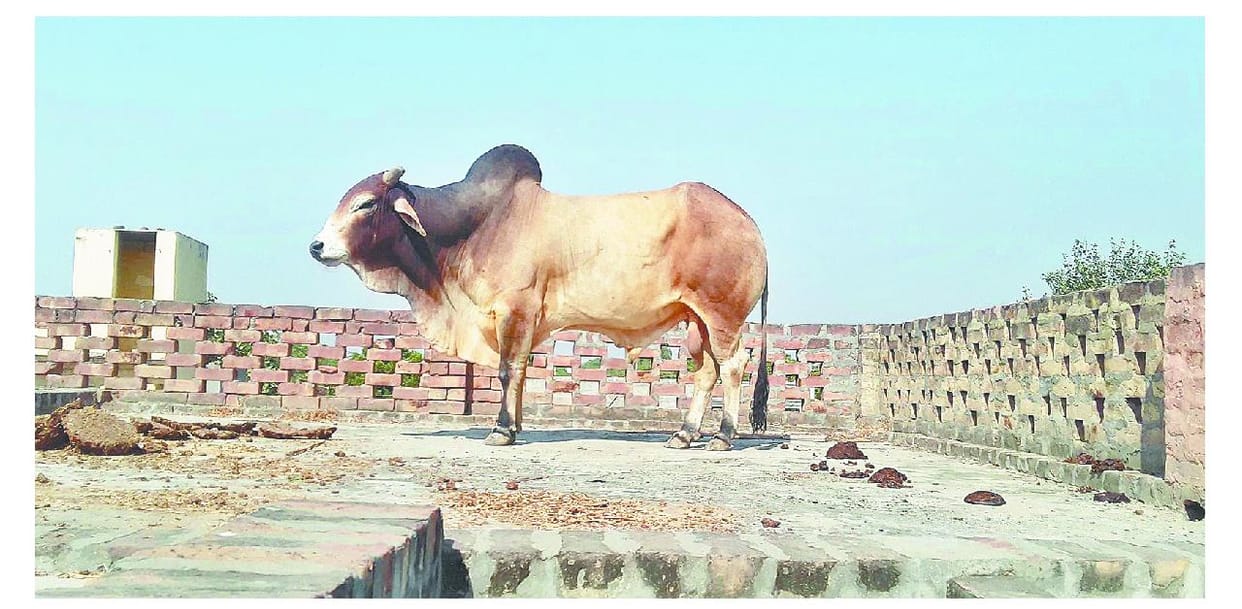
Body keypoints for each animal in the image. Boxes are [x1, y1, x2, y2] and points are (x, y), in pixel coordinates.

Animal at [310, 144, 770, 449]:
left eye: (366, 204)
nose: (317, 246)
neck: (476, 227)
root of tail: (750, 225)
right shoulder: (524, 320)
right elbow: (521, 371)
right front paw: (513, 426)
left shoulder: (514, 309)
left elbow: (507, 370)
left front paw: (500, 430)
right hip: (697, 319)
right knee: (707, 371)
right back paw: (685, 434)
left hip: (722, 316)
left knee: (733, 365)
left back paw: (723, 437)